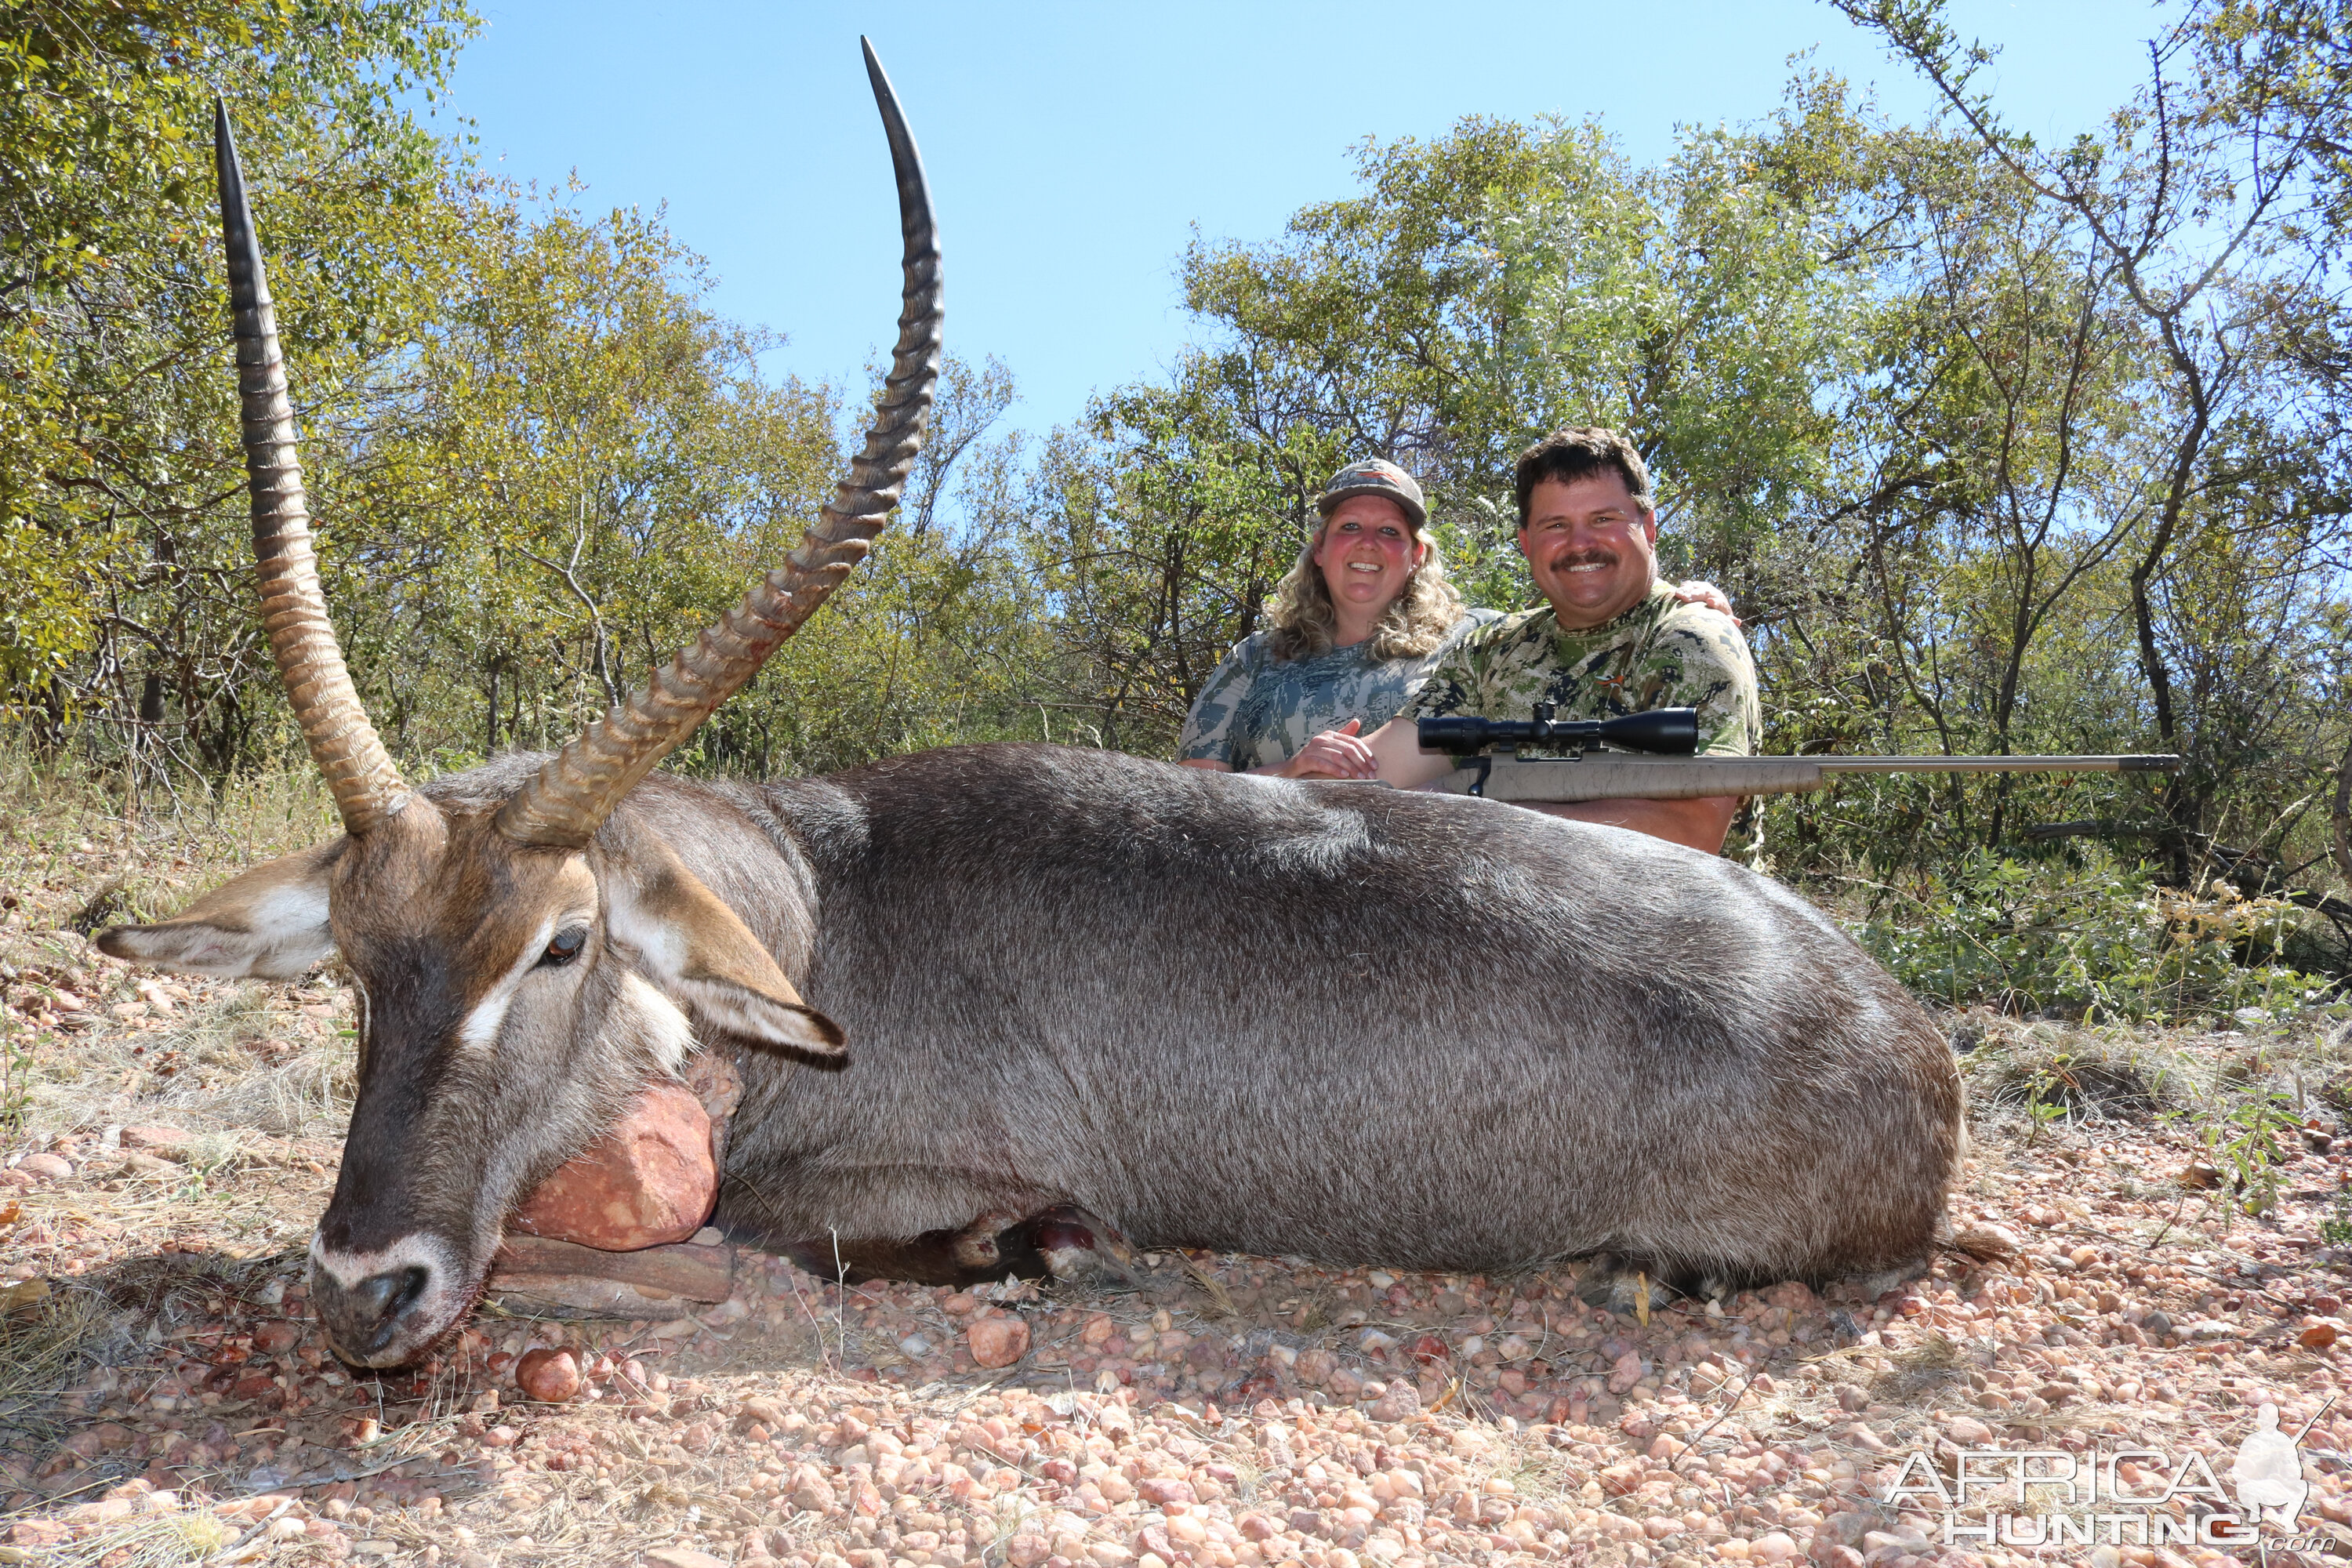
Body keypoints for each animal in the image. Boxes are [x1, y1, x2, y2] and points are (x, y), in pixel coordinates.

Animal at [96, 42, 1966, 1363]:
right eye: (355, 960)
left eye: (560, 944)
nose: (364, 1288)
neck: (828, 901)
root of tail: (1915, 1041)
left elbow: (792, 1221)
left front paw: (1025, 1247)